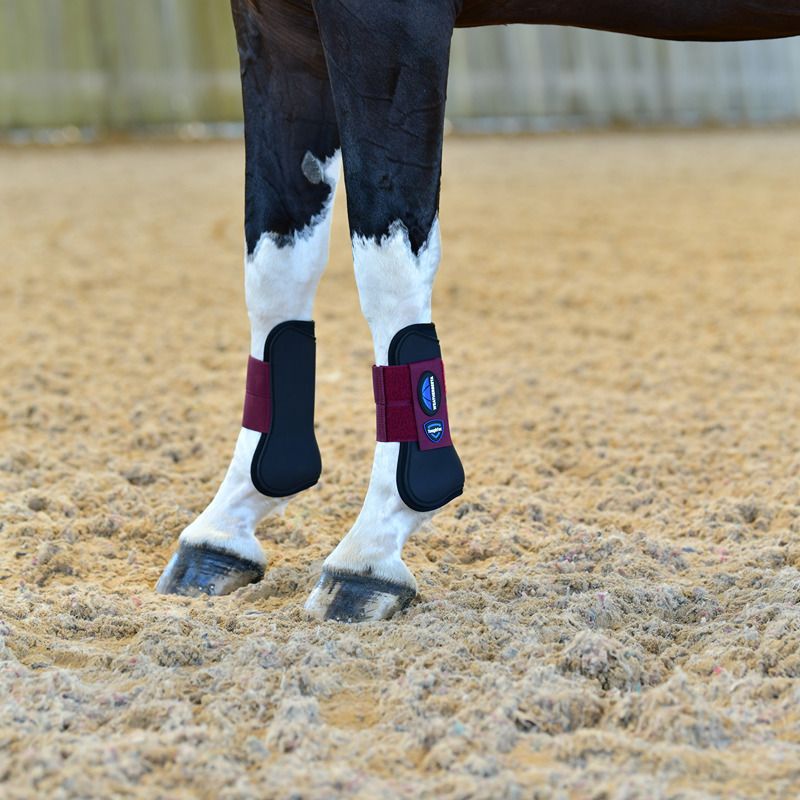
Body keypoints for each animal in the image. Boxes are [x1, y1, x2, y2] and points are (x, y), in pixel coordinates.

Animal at [156, 0, 800, 621]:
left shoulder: (389, 24)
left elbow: (387, 270)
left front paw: (370, 550)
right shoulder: (275, 28)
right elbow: (275, 275)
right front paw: (224, 528)